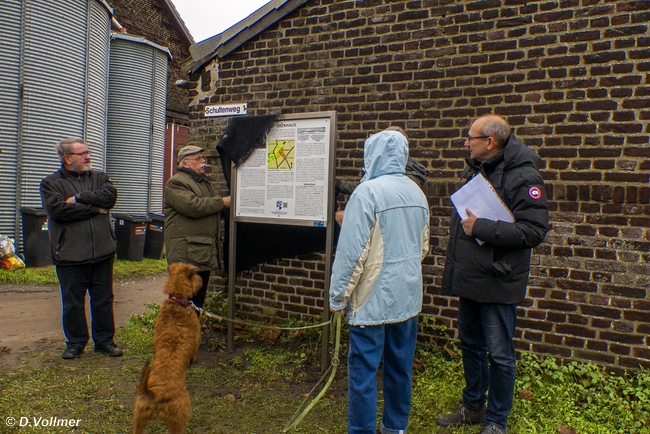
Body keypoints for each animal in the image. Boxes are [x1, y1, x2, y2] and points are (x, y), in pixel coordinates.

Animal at [132, 262, 202, 432]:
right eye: (194, 275)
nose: (201, 279)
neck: (176, 302)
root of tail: (155, 395)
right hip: (180, 415)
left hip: (138, 418)